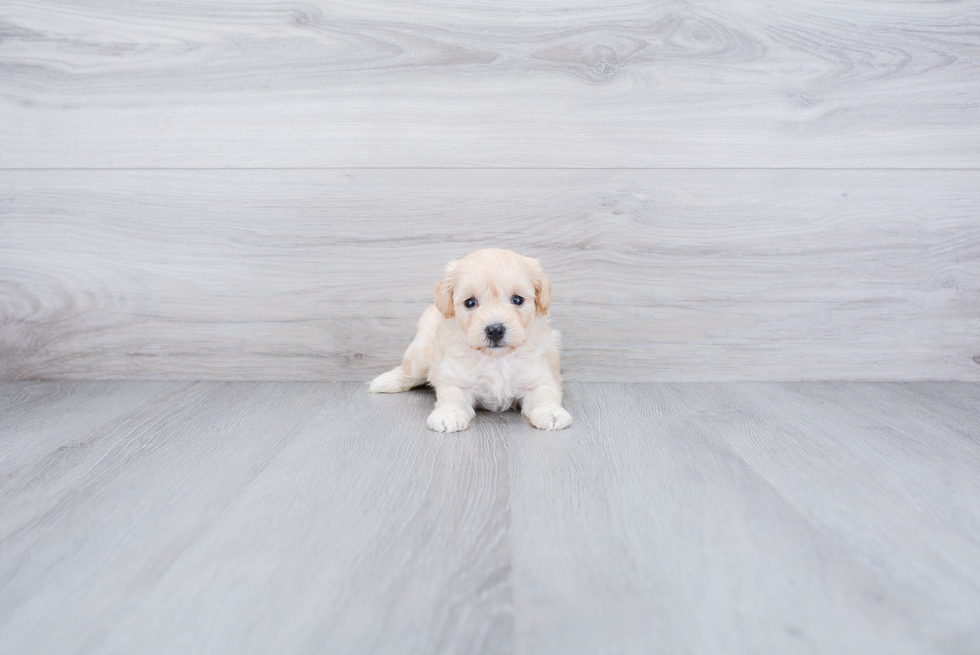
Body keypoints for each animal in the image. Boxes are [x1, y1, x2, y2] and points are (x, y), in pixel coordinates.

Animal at [368, 249, 572, 434]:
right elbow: (453, 396)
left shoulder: (540, 378)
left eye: (517, 299)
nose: (495, 330)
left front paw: (552, 413)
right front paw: (448, 414)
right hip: (421, 352)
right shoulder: (455, 379)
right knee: (409, 371)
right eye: (470, 302)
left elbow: (544, 395)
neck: (496, 359)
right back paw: (385, 382)